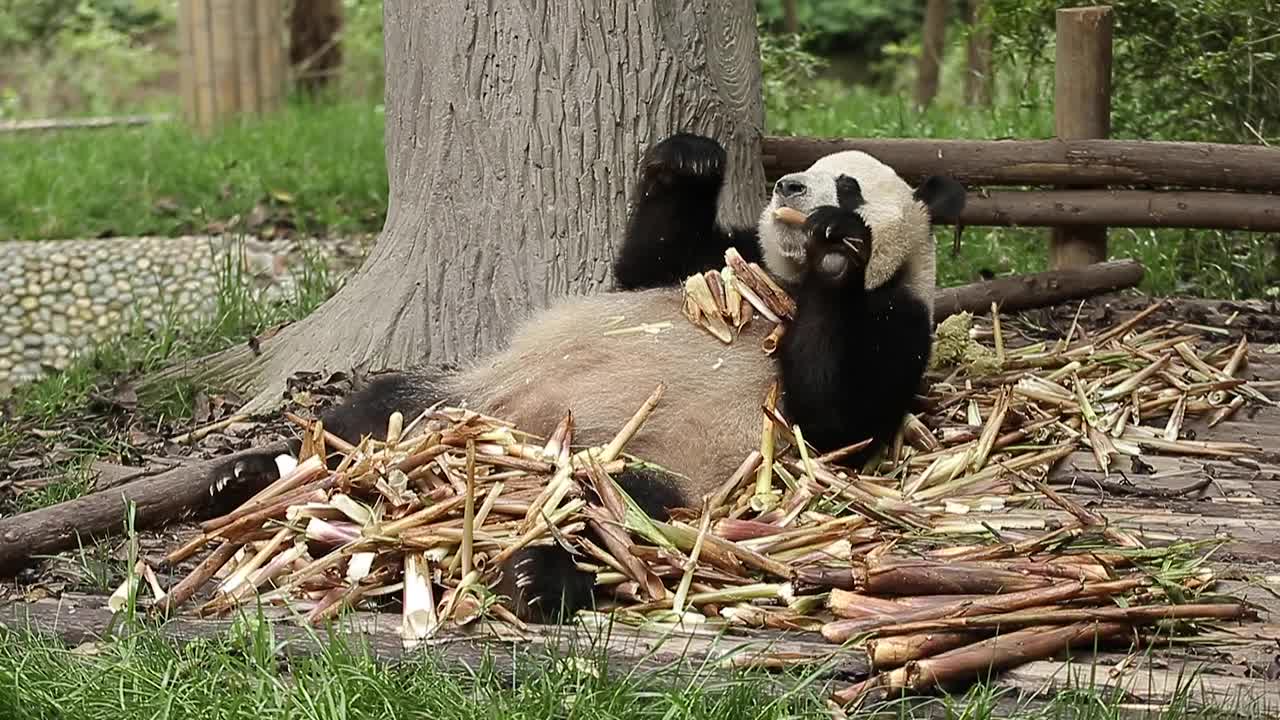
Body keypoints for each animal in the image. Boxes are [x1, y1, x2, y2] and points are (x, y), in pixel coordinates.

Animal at [314, 131, 962, 620]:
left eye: (848, 186)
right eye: (805, 169)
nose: (788, 186)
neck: (785, 283)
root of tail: (522, 440)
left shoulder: (899, 319)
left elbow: (834, 414)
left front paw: (834, 245)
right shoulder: (725, 262)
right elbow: (647, 264)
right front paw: (690, 161)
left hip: (656, 460)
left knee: (607, 510)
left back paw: (536, 573)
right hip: (466, 397)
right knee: (380, 408)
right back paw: (302, 462)